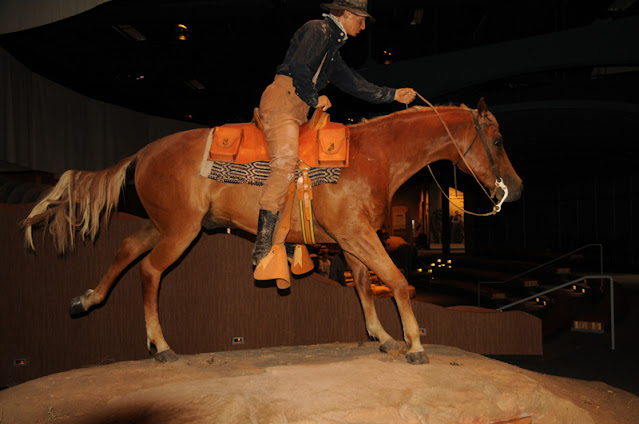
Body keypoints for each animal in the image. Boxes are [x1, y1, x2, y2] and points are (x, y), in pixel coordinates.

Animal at [22, 98, 524, 364]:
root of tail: (144, 152)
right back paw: (160, 345)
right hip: (181, 231)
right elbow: (398, 281)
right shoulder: (357, 234)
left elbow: (365, 284)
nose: (516, 189)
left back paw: (86, 300)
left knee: (126, 248)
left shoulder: (351, 239)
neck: (371, 154)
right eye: (498, 140)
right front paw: (414, 343)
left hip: (161, 224)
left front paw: (382, 336)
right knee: (149, 271)